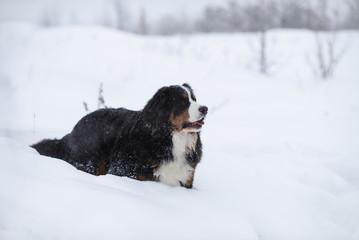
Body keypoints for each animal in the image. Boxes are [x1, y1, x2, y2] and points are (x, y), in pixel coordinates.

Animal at [33, 83, 211, 188]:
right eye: (183, 102)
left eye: (194, 99)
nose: (205, 108)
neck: (170, 139)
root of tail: (72, 132)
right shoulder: (124, 170)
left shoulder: (186, 180)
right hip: (92, 160)